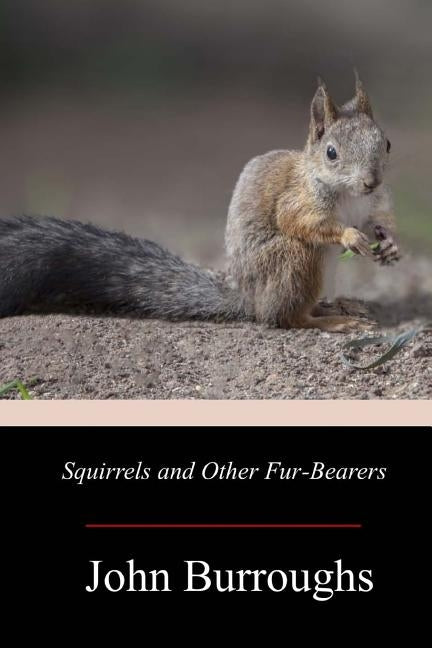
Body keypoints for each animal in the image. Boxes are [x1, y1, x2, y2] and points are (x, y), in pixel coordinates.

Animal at [0, 72, 399, 332]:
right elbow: (303, 222)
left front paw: (389, 244)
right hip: (294, 261)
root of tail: (248, 298)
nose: (372, 181)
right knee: (284, 318)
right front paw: (349, 236)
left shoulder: (375, 203)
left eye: (387, 143)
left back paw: (338, 303)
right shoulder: (297, 199)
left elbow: (378, 220)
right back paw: (333, 320)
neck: (350, 195)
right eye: (331, 153)